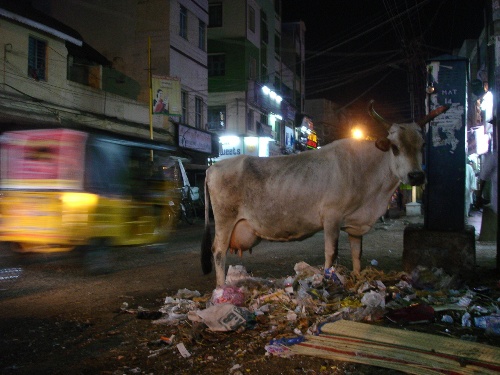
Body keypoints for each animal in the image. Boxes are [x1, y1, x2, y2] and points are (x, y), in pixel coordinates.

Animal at [199, 101, 450, 286]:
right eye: (395, 147)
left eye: (422, 145)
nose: (416, 176)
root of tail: (214, 167)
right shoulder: (331, 217)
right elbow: (331, 253)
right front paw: (328, 280)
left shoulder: (355, 224)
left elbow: (357, 254)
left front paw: (357, 278)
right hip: (225, 220)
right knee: (218, 252)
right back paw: (221, 289)